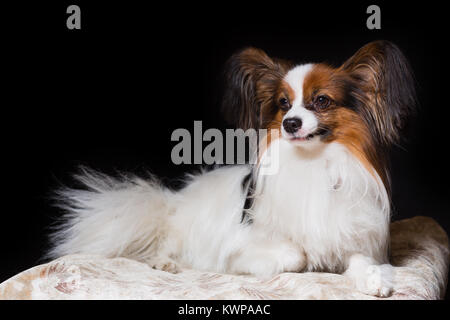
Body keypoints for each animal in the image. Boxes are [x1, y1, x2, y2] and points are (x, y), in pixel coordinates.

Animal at [47, 40, 416, 298]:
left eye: (322, 100)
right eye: (283, 104)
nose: (290, 122)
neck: (311, 162)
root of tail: (175, 201)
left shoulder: (354, 239)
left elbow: (362, 261)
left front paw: (374, 279)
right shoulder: (242, 247)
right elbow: (295, 254)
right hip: (186, 228)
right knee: (168, 244)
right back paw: (167, 262)